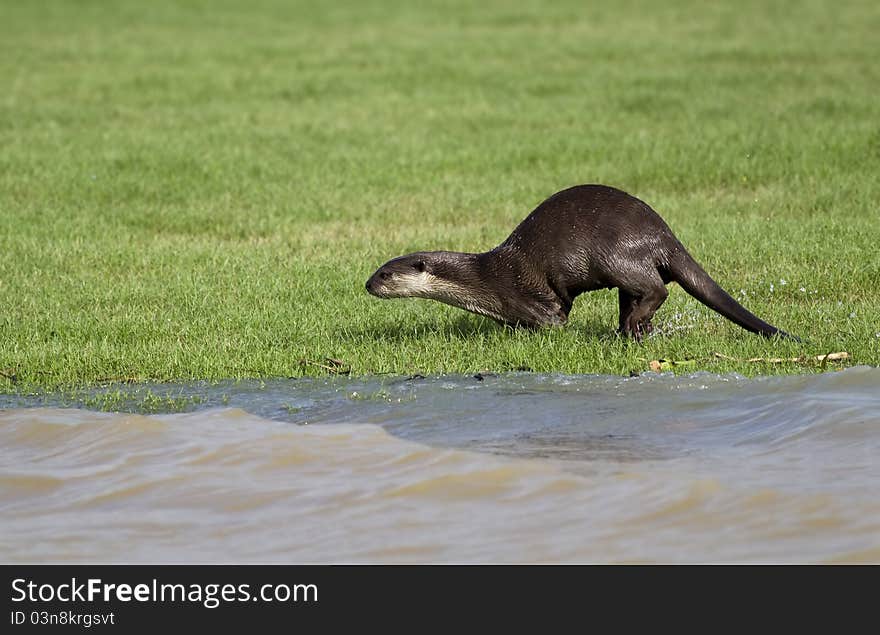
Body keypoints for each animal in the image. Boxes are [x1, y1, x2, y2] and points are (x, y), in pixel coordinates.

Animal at [364, 185, 796, 342]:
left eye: (385, 274)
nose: (368, 284)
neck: (483, 280)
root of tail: (662, 232)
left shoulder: (526, 297)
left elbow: (553, 319)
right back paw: (632, 330)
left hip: (615, 254)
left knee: (656, 287)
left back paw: (633, 325)